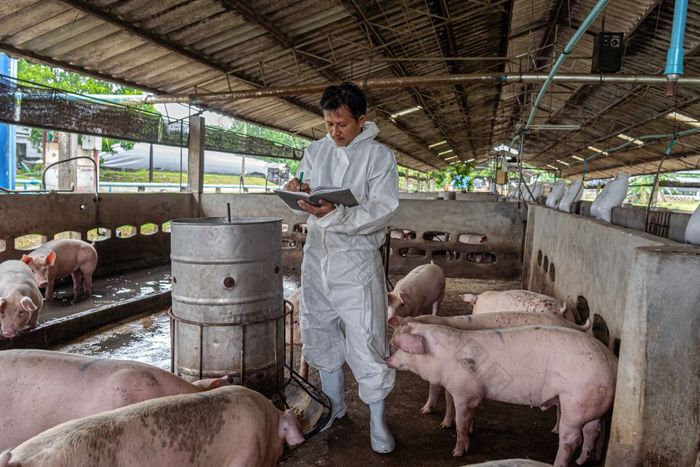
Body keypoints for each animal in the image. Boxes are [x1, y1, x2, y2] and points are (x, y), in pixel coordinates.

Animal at [388, 324, 616, 466]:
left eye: (402, 350)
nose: (387, 359)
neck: (442, 358)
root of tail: (612, 363)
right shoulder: (474, 395)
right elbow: (469, 419)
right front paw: (469, 439)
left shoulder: (464, 393)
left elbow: (461, 424)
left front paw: (457, 452)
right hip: (588, 405)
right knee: (592, 430)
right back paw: (582, 461)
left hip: (575, 402)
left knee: (571, 439)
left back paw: (559, 462)